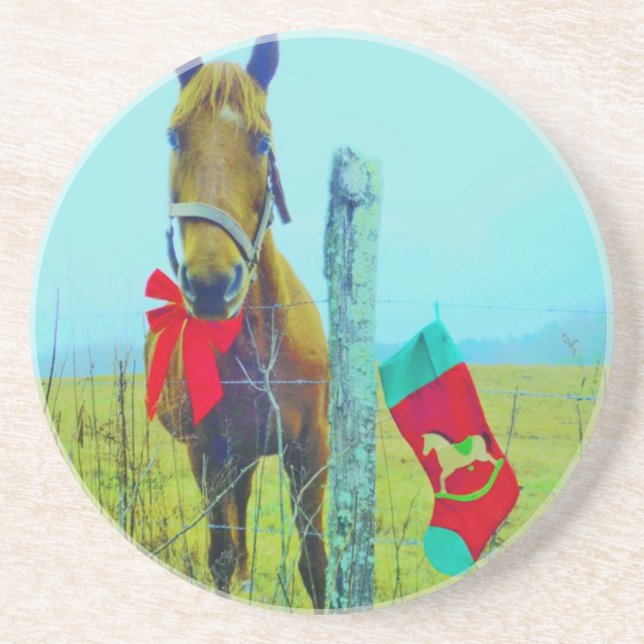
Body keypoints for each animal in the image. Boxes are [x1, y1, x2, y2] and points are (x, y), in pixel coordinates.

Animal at [144, 36, 329, 608]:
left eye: (263, 142)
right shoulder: (210, 453)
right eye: (175, 136)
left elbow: (315, 565)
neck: (260, 343)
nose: (210, 286)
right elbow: (222, 559)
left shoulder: (310, 450)